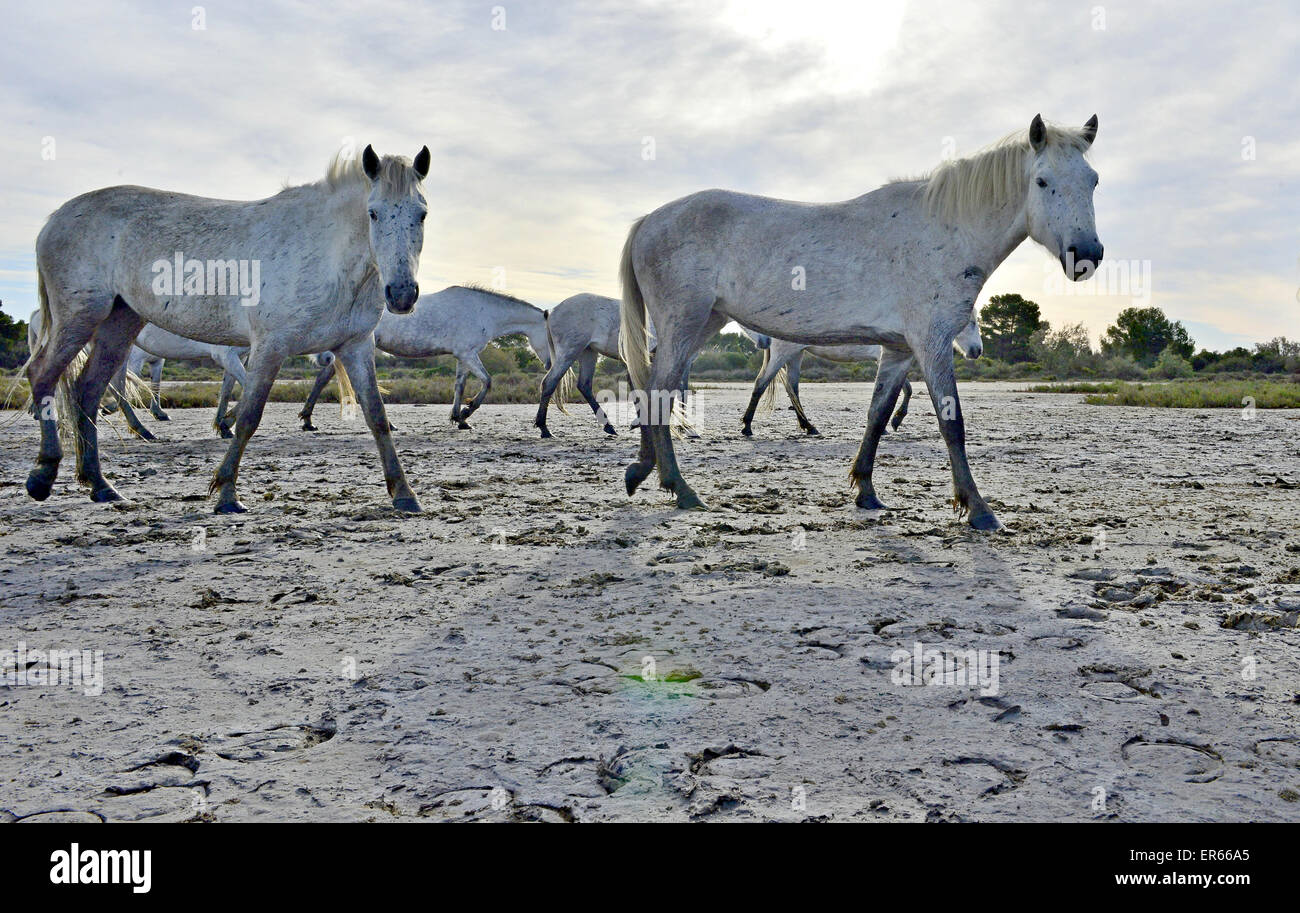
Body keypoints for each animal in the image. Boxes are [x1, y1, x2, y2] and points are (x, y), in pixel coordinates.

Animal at [24, 143, 431, 513]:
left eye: (422, 214)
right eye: (373, 213)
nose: (402, 294)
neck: (326, 255)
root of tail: (54, 219)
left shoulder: (356, 346)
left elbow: (377, 416)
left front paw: (404, 493)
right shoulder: (270, 347)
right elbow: (250, 415)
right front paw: (226, 493)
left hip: (119, 322)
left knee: (87, 392)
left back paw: (100, 485)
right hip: (79, 318)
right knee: (43, 375)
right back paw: (43, 476)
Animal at [297, 285, 550, 431]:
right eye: (551, 336)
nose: (549, 364)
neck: (483, 312)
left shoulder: (463, 357)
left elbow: (459, 386)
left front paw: (459, 419)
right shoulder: (468, 354)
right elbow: (487, 382)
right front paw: (466, 412)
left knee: (323, 378)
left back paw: (308, 420)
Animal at [739, 316, 983, 437]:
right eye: (971, 323)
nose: (977, 350)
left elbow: (905, 389)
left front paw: (891, 423)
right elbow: (906, 389)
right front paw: (895, 420)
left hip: (796, 355)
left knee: (792, 388)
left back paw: (808, 426)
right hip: (784, 353)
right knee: (762, 383)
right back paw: (747, 427)